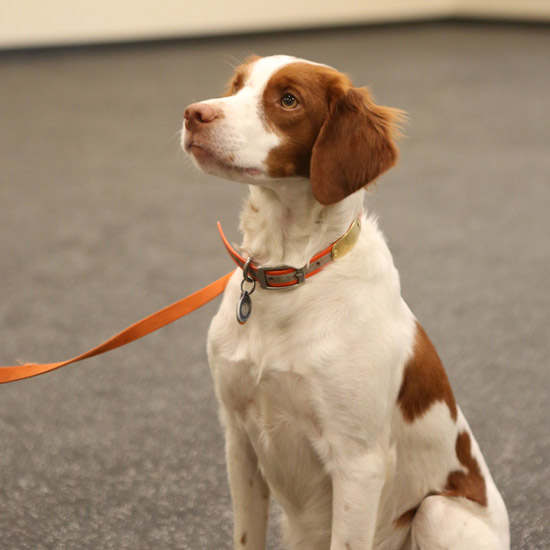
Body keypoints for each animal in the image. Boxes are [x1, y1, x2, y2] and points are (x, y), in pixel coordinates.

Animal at [183, 55, 512, 550]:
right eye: (237, 86)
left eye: (288, 100)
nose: (193, 114)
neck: (288, 273)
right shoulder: (238, 439)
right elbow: (245, 535)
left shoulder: (358, 463)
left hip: (436, 513)